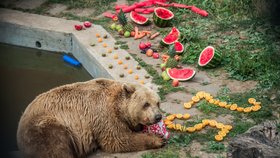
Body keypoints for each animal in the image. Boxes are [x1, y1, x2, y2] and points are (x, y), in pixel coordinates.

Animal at [17, 78, 162, 157]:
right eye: (146, 104)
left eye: (157, 102)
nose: (158, 116)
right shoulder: (104, 115)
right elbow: (119, 139)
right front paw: (157, 139)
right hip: (46, 127)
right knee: (55, 149)